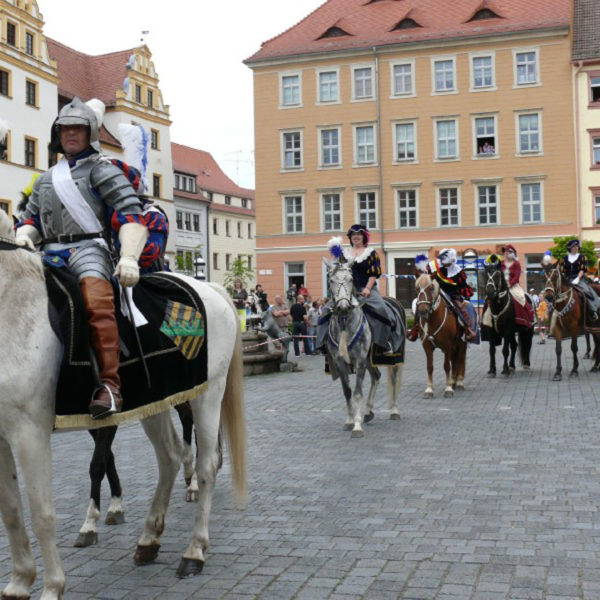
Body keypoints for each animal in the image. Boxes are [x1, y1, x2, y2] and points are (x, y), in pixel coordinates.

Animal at [0, 209, 246, 596]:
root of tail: (212, 289)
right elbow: (11, 511)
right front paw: (18, 583)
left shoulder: (30, 432)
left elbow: (42, 512)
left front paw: (52, 587)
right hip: (154, 402)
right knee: (170, 456)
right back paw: (148, 539)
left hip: (208, 395)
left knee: (207, 465)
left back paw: (194, 550)